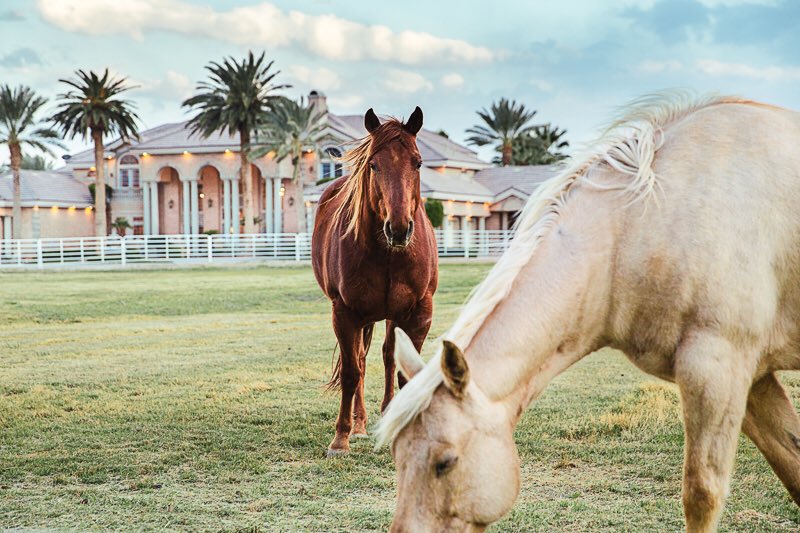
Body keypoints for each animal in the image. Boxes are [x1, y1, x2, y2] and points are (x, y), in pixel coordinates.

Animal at [312, 106, 438, 457]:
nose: (399, 228)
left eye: (418, 162)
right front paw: (340, 438)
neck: (388, 255)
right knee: (361, 361)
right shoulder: (345, 314)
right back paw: (358, 425)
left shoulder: (418, 314)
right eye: (373, 164)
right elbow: (352, 372)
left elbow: (402, 371)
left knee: (385, 358)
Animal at [375, 92, 800, 532]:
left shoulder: (716, 370)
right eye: (397, 456)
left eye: (445, 462)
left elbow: (702, 495)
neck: (642, 225)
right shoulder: (753, 379)